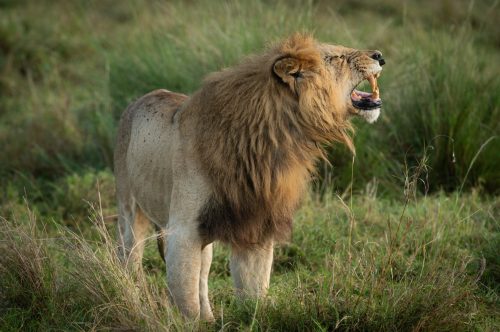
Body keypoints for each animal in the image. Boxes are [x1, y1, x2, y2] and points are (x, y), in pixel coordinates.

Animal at [114, 33, 386, 320]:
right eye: (337, 58)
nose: (379, 55)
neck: (276, 138)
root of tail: (138, 101)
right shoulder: (183, 231)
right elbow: (187, 301)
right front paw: (188, 322)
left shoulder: (255, 225)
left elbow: (253, 290)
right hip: (129, 212)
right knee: (129, 258)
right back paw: (135, 303)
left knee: (202, 277)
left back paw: (211, 318)